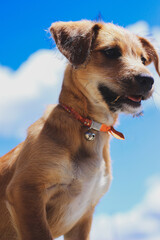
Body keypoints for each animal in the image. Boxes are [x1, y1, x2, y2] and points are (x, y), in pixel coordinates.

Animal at [0, 21, 160, 240]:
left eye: (144, 60)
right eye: (111, 52)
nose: (148, 80)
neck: (89, 126)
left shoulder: (84, 215)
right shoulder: (25, 191)